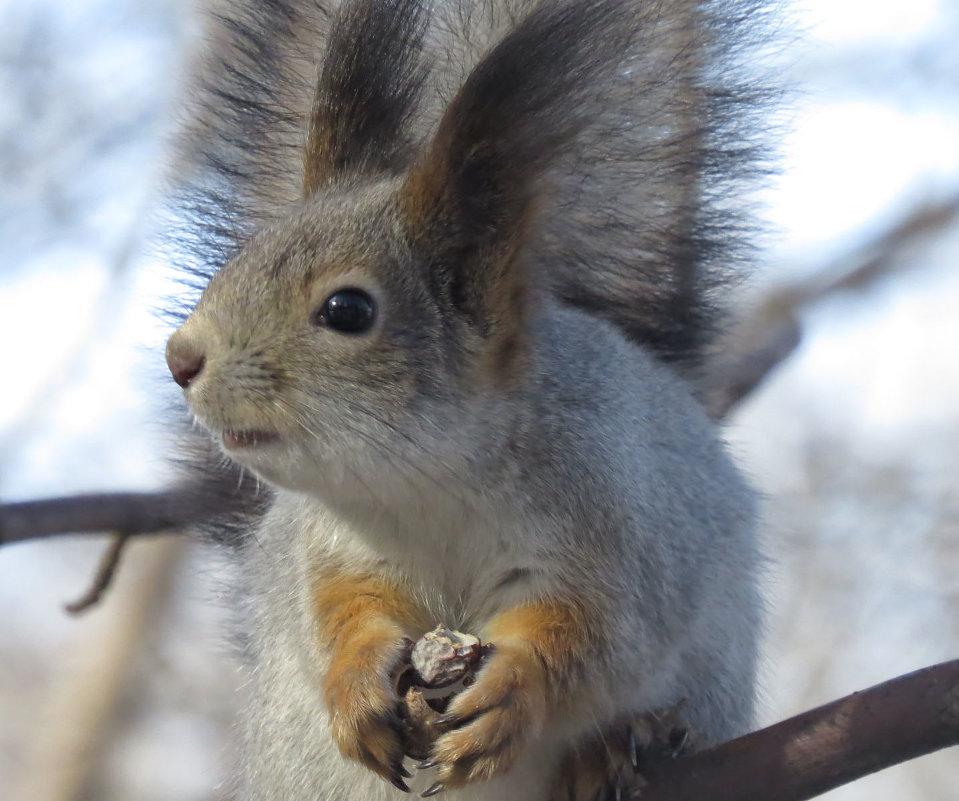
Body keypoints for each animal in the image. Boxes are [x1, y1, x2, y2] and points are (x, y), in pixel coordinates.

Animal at [161, 1, 768, 800]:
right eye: (240, 260)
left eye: (347, 310)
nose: (180, 358)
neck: (432, 488)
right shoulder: (332, 550)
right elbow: (342, 615)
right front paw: (355, 682)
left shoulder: (615, 531)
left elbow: (591, 637)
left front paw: (515, 692)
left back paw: (612, 750)